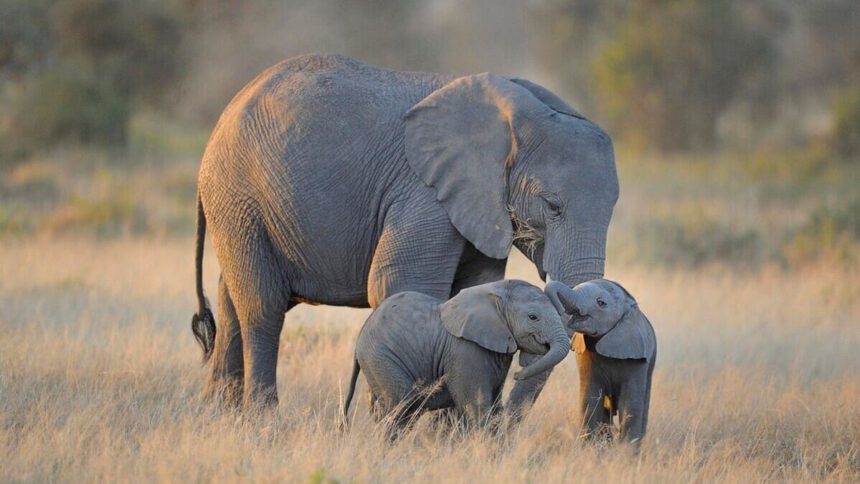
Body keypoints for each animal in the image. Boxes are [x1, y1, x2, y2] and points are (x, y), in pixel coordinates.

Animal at [190, 54, 619, 410]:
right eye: (552, 206)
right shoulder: (423, 193)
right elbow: (401, 284)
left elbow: (472, 290)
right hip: (239, 196)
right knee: (262, 306)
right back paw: (262, 419)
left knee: (232, 298)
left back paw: (219, 416)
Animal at [342, 280, 570, 435]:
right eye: (533, 317)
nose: (517, 374)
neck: (495, 292)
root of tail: (360, 336)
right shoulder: (466, 351)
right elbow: (477, 407)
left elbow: (495, 407)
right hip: (381, 358)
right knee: (401, 407)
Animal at [544, 279, 656, 445]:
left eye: (601, 303)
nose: (560, 310)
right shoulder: (585, 354)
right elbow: (589, 400)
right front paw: (591, 448)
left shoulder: (637, 359)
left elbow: (630, 406)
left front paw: (625, 451)